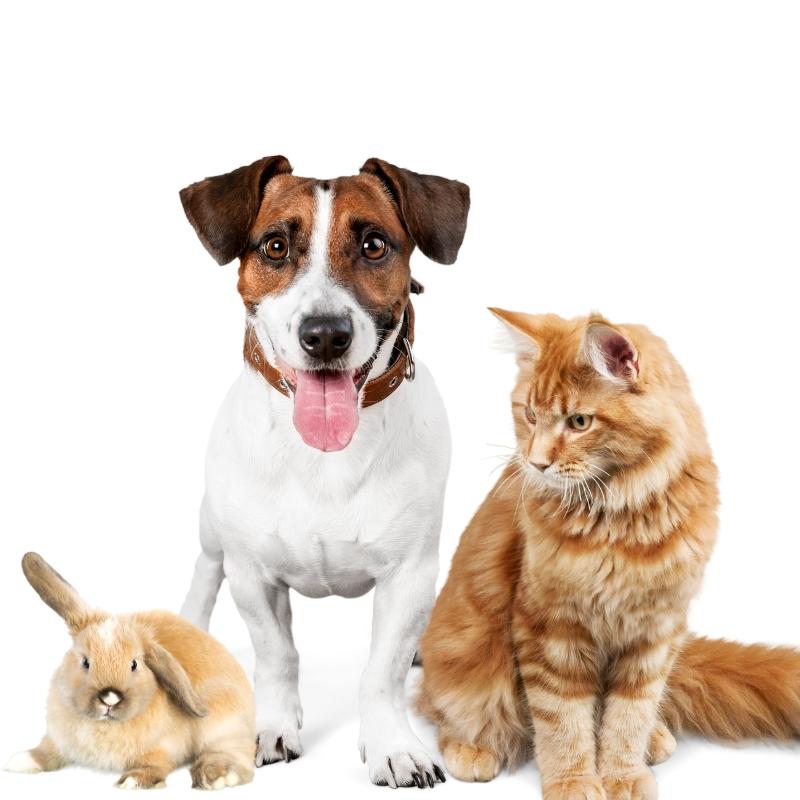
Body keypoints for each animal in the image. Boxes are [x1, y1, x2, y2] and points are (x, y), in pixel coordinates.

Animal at [4, 552, 255, 792]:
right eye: (85, 662)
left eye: (134, 664)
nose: (110, 698)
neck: (103, 725)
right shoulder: (57, 739)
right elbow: (46, 750)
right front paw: (20, 761)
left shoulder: (164, 746)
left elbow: (154, 763)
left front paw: (133, 781)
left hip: (222, 724)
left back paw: (215, 776)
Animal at [178, 156, 472, 788]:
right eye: (275, 246)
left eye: (374, 244)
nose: (326, 334)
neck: (326, 457)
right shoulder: (252, 575)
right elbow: (276, 654)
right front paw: (270, 727)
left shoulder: (410, 574)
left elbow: (382, 672)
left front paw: (393, 746)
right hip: (214, 530)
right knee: (203, 573)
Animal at [418, 308, 800, 800]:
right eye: (530, 415)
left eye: (580, 422)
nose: (536, 462)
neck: (621, 520)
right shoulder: (550, 629)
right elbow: (562, 720)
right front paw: (573, 781)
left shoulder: (655, 633)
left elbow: (628, 715)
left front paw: (622, 774)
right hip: (462, 656)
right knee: (442, 707)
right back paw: (473, 749)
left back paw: (655, 740)